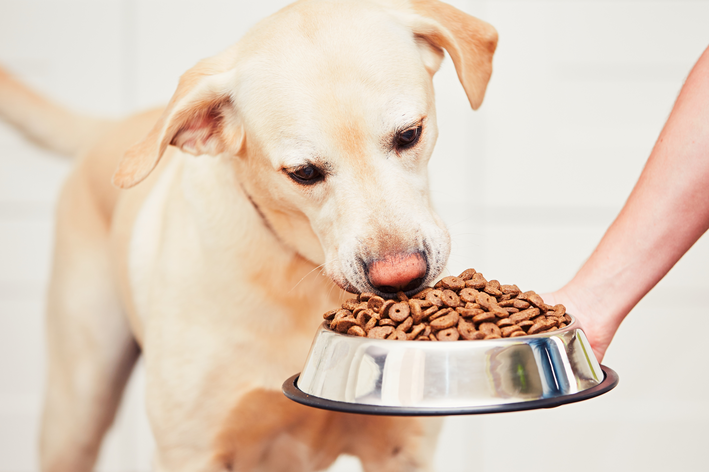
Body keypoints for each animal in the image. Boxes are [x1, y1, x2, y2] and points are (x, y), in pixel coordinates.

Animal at [1, 0, 498, 472]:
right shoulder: (190, 453)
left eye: (410, 134)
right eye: (303, 173)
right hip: (77, 410)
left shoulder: (400, 449)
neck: (300, 269)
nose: (401, 278)